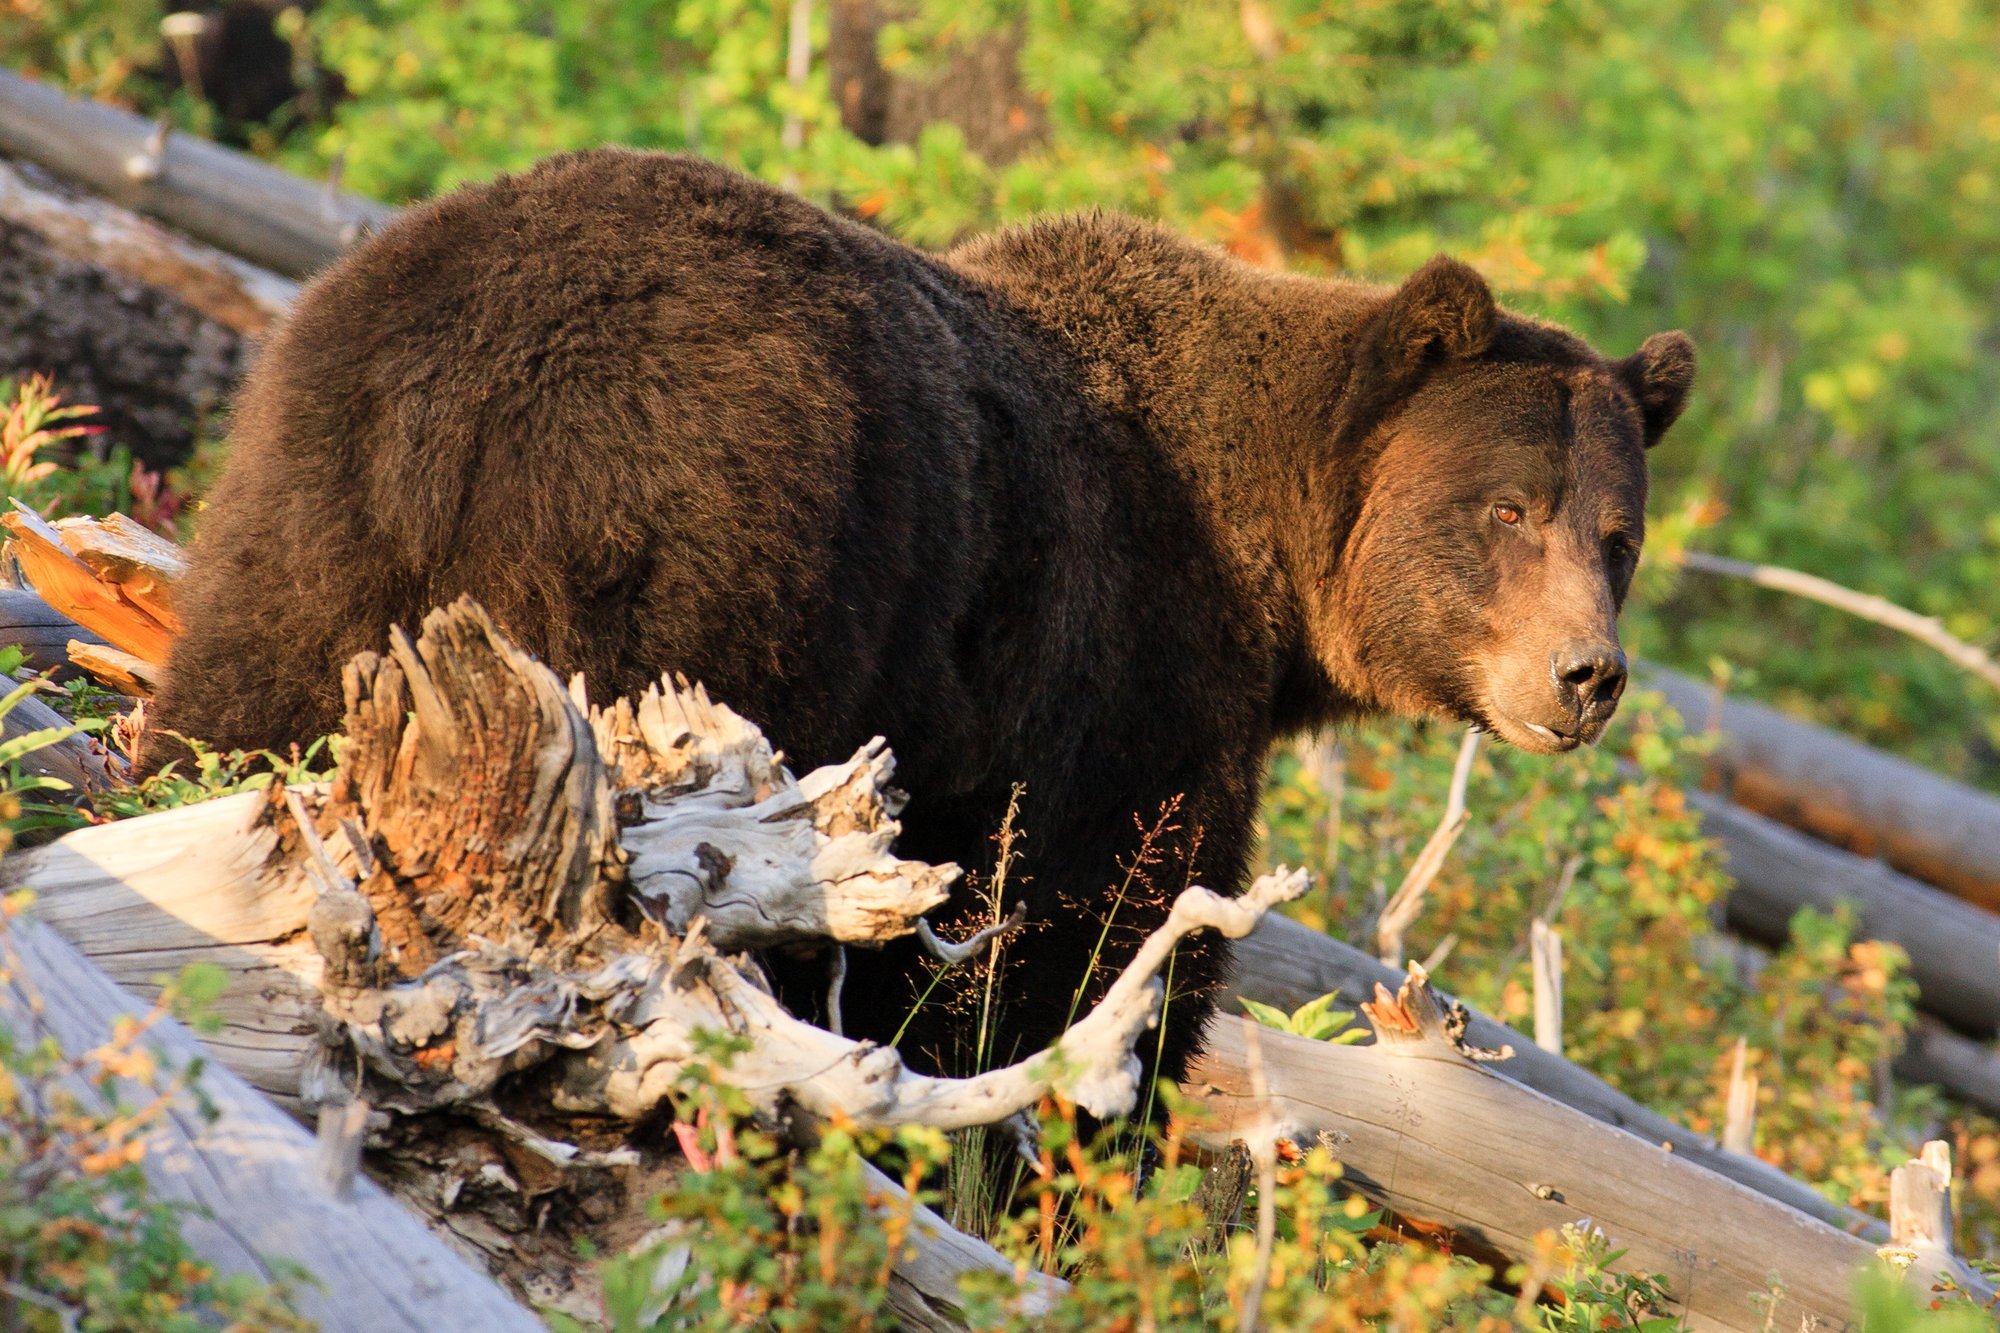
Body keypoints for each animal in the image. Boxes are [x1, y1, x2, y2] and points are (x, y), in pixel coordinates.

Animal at [152, 150, 1688, 1088]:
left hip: (310, 485)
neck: (1274, 571)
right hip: (698, 540)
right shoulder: (1122, 658)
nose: (1585, 675)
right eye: (1507, 510)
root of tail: (461, 367)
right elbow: (1090, 934)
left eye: (1616, 536)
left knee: (240, 695)